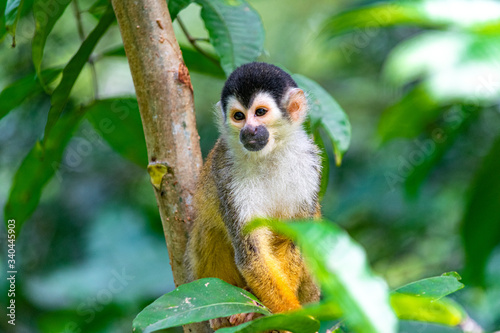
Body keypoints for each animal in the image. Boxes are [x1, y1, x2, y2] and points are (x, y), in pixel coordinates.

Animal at [187, 62, 320, 330]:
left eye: (260, 112)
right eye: (238, 116)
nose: (249, 130)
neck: (270, 154)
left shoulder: (310, 165)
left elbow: (295, 241)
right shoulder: (226, 174)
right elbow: (251, 254)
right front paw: (290, 317)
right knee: (209, 228)